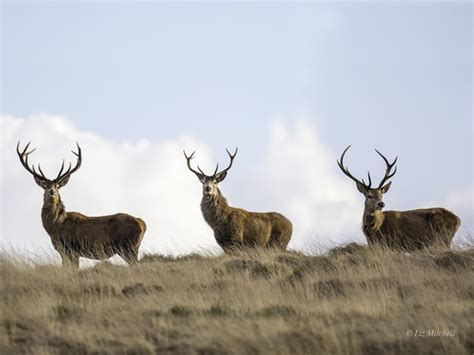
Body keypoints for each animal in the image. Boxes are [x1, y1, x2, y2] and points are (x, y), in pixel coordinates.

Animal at [16, 142, 146, 268]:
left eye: (57, 186)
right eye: (45, 186)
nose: (52, 191)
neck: (55, 226)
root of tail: (142, 224)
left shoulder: (71, 249)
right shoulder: (64, 252)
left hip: (127, 247)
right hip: (132, 248)